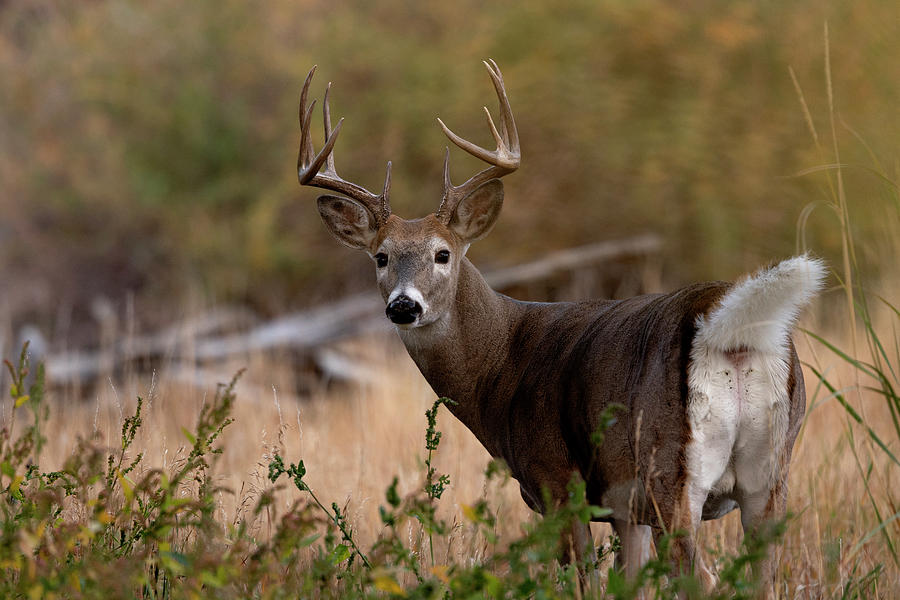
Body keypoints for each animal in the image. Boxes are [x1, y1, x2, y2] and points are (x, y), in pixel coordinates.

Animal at [296, 58, 824, 592]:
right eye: (380, 257)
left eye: (442, 254)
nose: (404, 306)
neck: (502, 363)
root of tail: (727, 329)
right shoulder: (624, 508)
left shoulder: (556, 482)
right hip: (771, 473)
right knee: (763, 578)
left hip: (669, 473)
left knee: (700, 579)